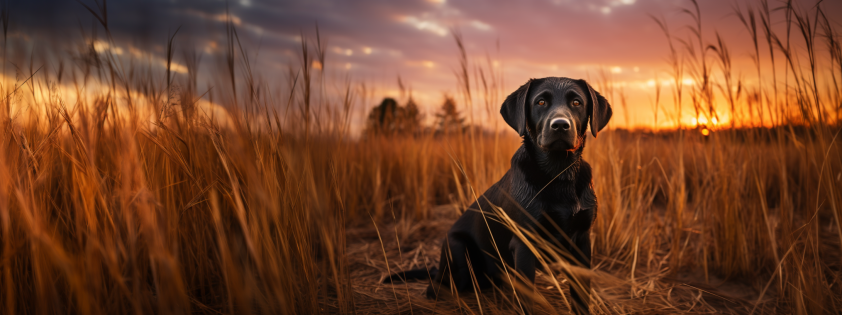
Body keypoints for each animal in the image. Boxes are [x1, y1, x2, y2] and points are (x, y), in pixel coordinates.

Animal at [386, 78, 612, 314]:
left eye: (577, 102)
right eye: (540, 101)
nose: (560, 125)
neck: (559, 174)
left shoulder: (582, 241)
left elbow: (581, 295)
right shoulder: (524, 243)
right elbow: (526, 300)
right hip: (457, 250)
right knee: (438, 288)